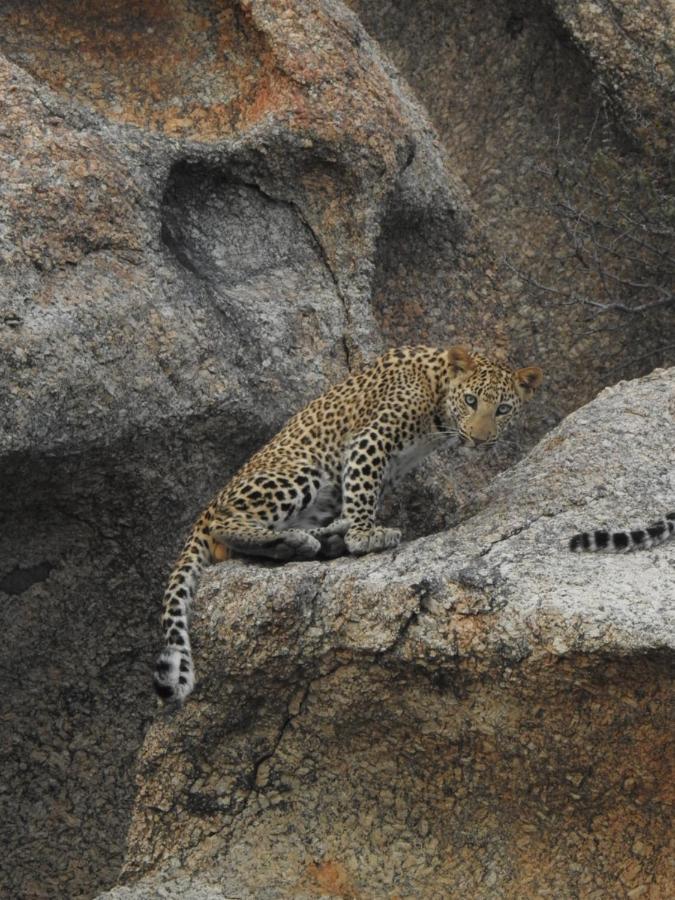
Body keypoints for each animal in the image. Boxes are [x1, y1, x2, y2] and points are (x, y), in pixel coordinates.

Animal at [153, 344, 544, 704]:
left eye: (503, 409)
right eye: (470, 400)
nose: (480, 438)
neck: (439, 400)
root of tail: (206, 508)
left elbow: (359, 495)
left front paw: (352, 532)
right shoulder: (371, 440)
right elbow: (362, 491)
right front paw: (364, 535)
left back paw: (317, 540)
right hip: (302, 472)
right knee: (225, 525)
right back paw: (300, 541)